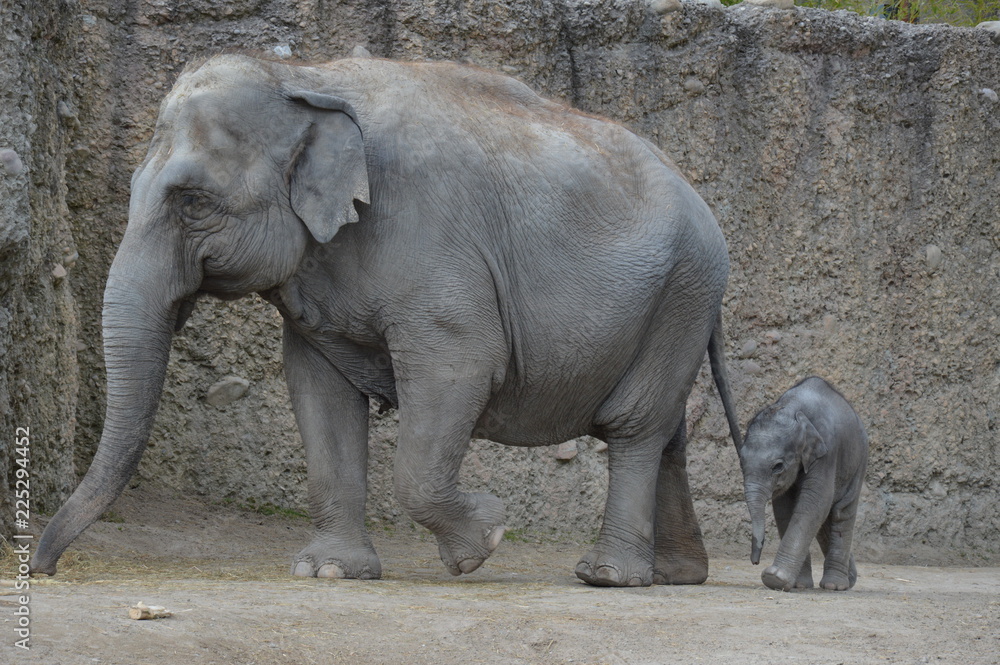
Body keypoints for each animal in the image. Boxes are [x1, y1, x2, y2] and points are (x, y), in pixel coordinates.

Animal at [31, 53, 743, 587]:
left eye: (192, 202)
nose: (42, 568)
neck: (306, 79)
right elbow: (317, 390)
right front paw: (328, 573)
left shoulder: (433, 246)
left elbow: (459, 368)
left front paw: (486, 538)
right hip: (676, 304)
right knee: (666, 431)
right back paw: (675, 575)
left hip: (684, 290)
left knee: (633, 426)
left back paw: (607, 577)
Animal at [739, 376, 868, 591]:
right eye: (741, 462)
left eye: (778, 466)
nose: (755, 562)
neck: (792, 408)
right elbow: (785, 509)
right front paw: (798, 585)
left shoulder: (827, 451)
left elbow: (814, 502)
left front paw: (775, 578)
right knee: (825, 522)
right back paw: (848, 579)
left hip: (858, 462)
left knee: (842, 512)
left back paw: (835, 585)